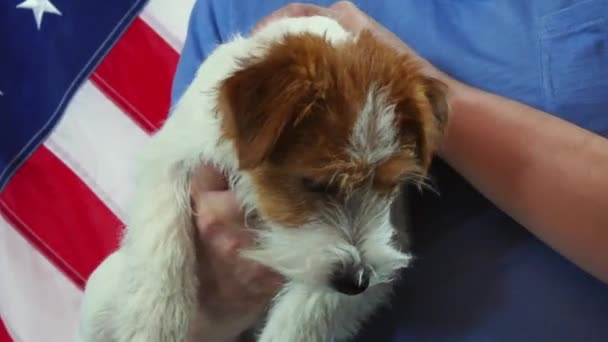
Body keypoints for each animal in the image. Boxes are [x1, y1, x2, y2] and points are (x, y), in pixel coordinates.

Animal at [77, 14, 446, 340]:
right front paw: (155, 321)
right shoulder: (170, 156)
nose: (356, 281)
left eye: (390, 186)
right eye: (314, 183)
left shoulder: (383, 253)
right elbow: (163, 237)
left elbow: (306, 316)